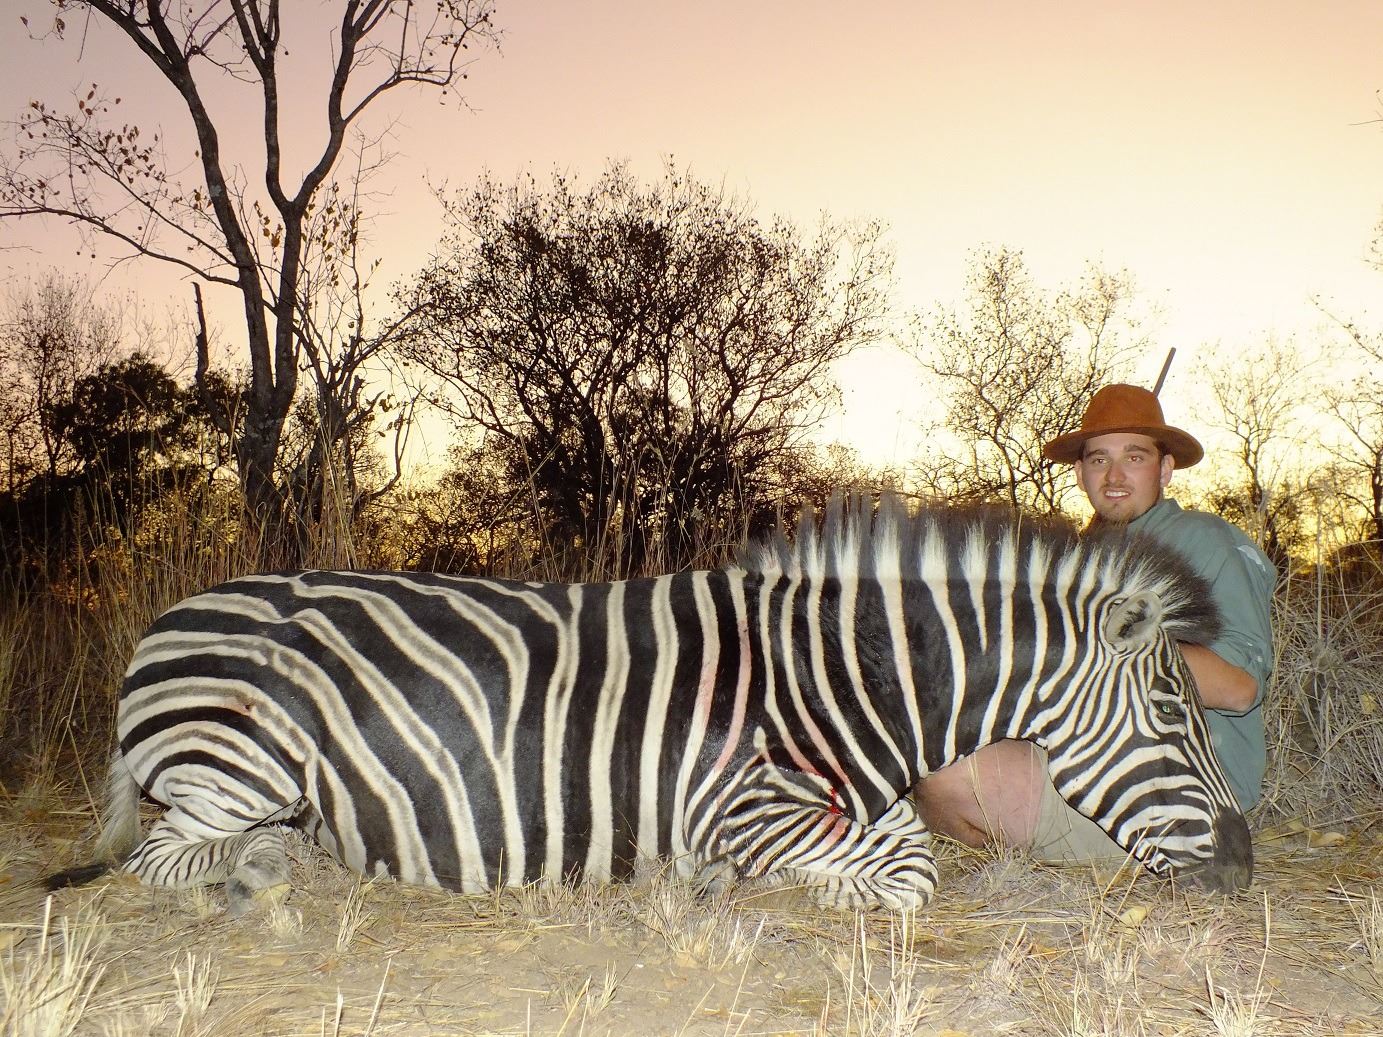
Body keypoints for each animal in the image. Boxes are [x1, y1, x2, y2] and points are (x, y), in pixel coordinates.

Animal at [51, 497, 1252, 913]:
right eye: (1175, 716)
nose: (1244, 862)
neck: (841, 677)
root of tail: (165, 619)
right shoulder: (744, 805)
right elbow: (906, 873)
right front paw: (741, 883)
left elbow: (902, 844)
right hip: (245, 757)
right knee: (166, 857)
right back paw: (266, 869)